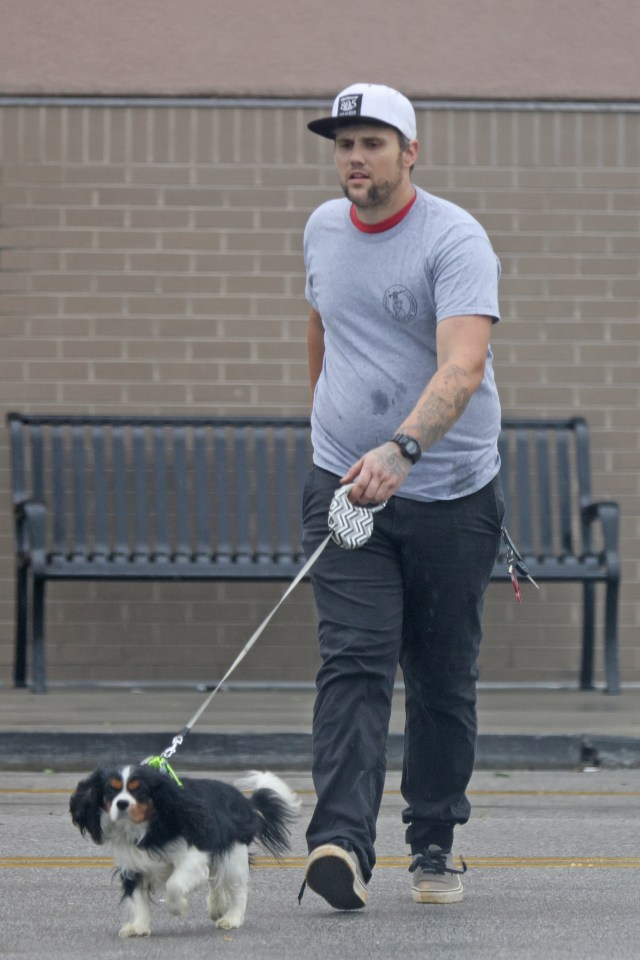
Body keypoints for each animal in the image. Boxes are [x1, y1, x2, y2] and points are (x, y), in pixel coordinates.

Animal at [70, 764, 300, 936]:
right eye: (111, 790)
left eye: (140, 790)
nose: (122, 804)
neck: (146, 826)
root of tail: (245, 801)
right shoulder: (132, 866)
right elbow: (137, 897)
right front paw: (138, 927)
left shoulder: (193, 856)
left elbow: (174, 884)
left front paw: (177, 907)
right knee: (215, 881)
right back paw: (216, 907)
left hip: (233, 855)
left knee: (237, 888)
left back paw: (231, 919)